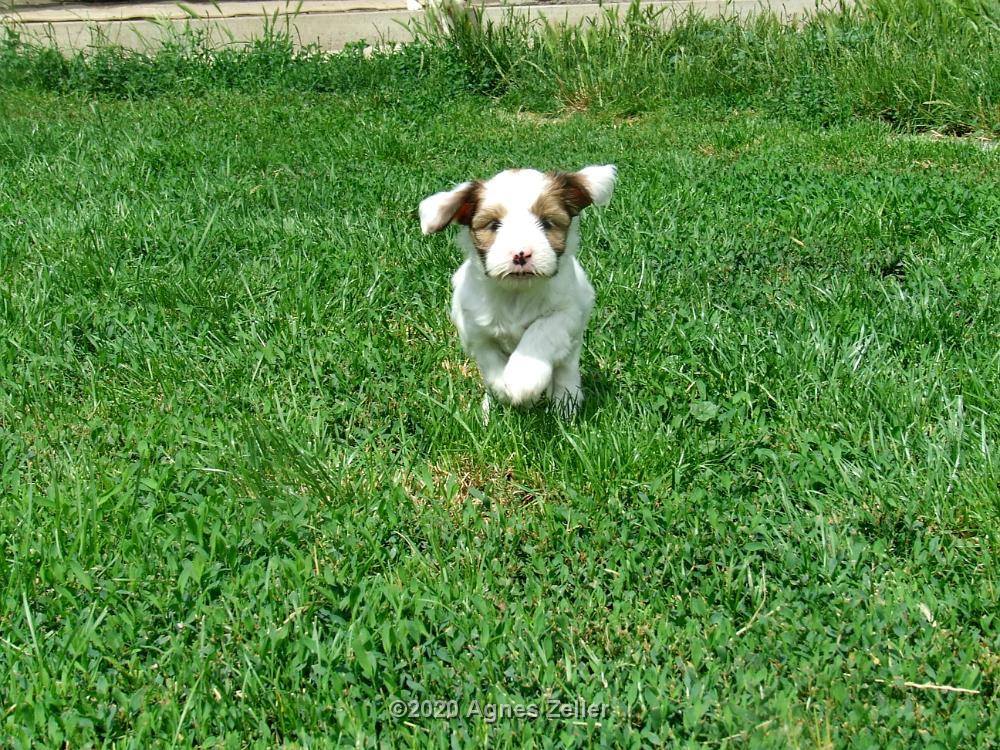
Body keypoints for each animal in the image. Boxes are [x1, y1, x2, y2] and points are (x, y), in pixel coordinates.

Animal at [418, 165, 612, 420]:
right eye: (494, 225)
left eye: (547, 223)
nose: (521, 254)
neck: (516, 293)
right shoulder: (475, 330)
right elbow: (491, 364)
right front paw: (506, 392)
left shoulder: (568, 311)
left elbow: (542, 330)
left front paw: (523, 379)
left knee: (565, 375)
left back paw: (565, 407)